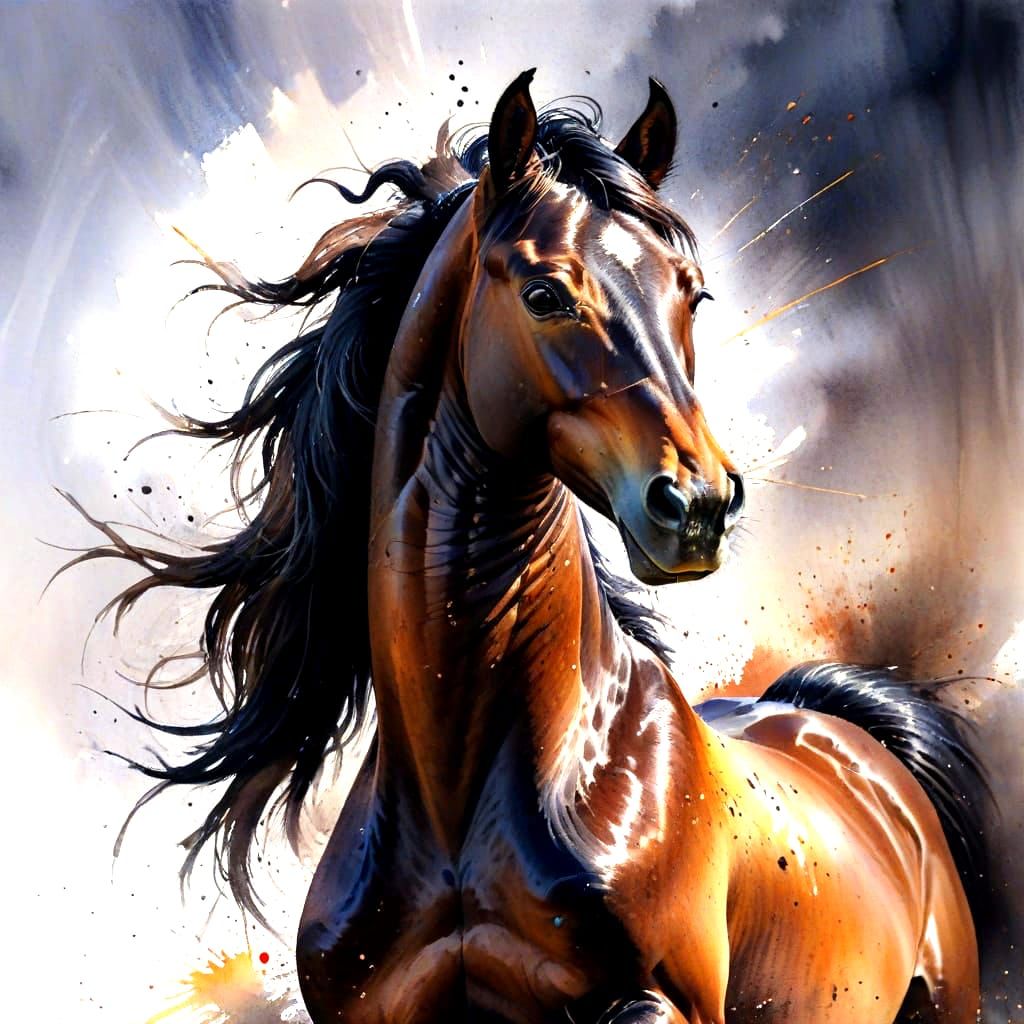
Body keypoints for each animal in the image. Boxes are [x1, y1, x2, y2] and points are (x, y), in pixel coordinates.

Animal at [77, 71, 991, 1023]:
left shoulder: (653, 1003)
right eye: (546, 294)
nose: (698, 505)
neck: (461, 796)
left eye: (692, 293)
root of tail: (847, 739)